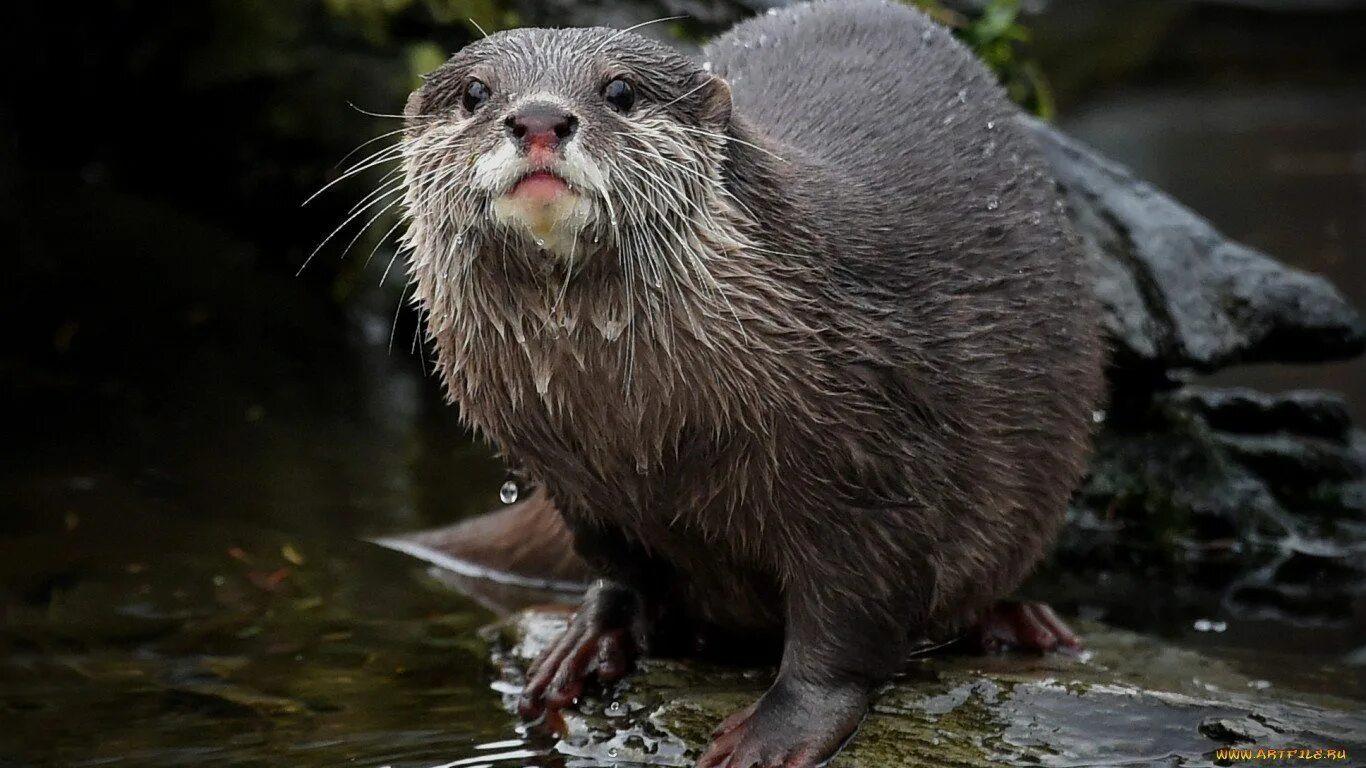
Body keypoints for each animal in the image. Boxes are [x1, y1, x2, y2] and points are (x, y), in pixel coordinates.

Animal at [398, 1, 1103, 759]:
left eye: (619, 90)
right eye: (476, 93)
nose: (537, 119)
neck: (638, 434)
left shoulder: (876, 466)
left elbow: (850, 620)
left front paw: (778, 729)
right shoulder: (576, 486)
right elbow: (622, 570)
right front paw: (591, 638)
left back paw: (1020, 623)